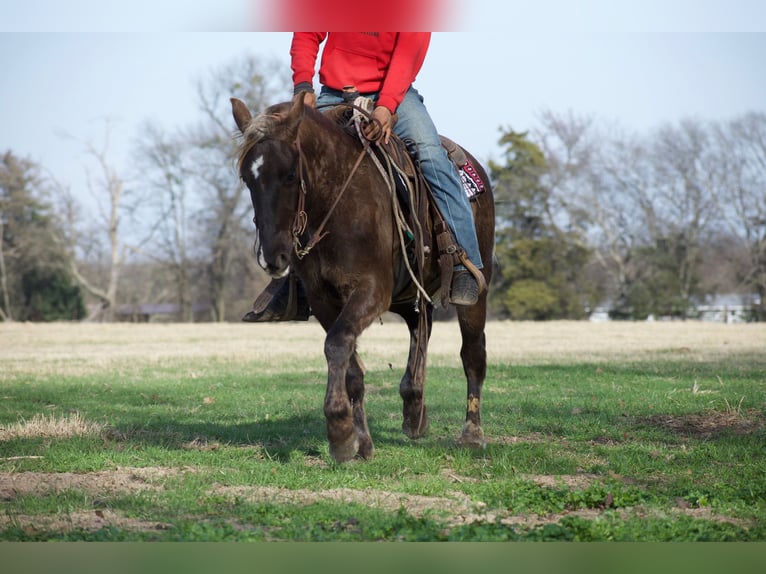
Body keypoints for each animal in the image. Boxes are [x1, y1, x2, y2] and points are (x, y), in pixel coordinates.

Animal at [231, 94, 495, 462]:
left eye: (290, 174)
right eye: (247, 178)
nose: (272, 257)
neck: (338, 200)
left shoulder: (370, 292)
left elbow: (337, 343)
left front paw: (339, 430)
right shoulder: (323, 299)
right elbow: (349, 363)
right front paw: (360, 442)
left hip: (475, 292)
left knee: (472, 354)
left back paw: (471, 432)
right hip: (409, 294)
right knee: (421, 327)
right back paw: (414, 410)